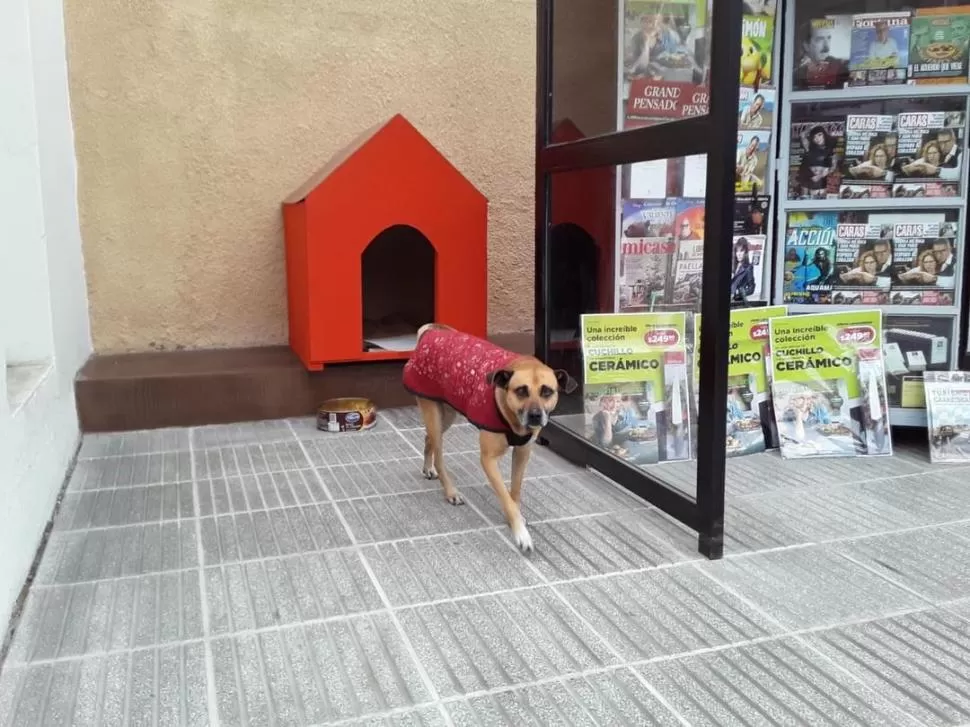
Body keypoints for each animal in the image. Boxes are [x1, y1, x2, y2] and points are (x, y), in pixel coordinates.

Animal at [400, 324, 576, 552]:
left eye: (547, 391)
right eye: (521, 391)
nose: (536, 416)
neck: (511, 418)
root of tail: (432, 330)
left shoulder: (523, 453)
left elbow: (515, 491)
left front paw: (516, 517)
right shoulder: (488, 460)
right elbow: (506, 498)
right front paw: (520, 532)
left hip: (446, 415)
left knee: (427, 438)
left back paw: (428, 467)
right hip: (433, 414)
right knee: (438, 454)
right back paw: (450, 491)